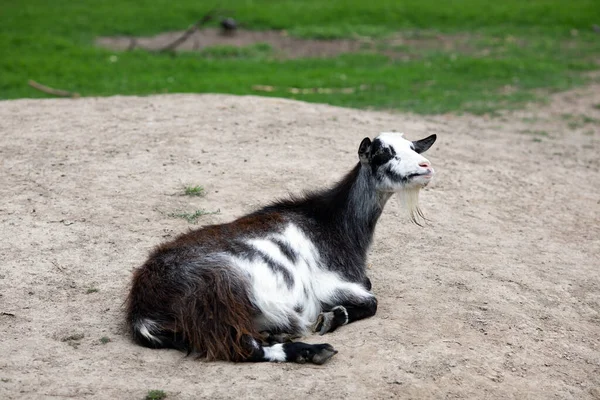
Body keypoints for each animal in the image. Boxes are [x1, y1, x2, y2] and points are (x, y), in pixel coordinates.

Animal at [126, 133, 436, 364]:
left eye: (412, 147)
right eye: (384, 153)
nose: (425, 167)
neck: (332, 222)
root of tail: (142, 306)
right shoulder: (328, 283)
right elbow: (372, 301)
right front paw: (331, 318)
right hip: (219, 289)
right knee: (243, 348)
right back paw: (311, 351)